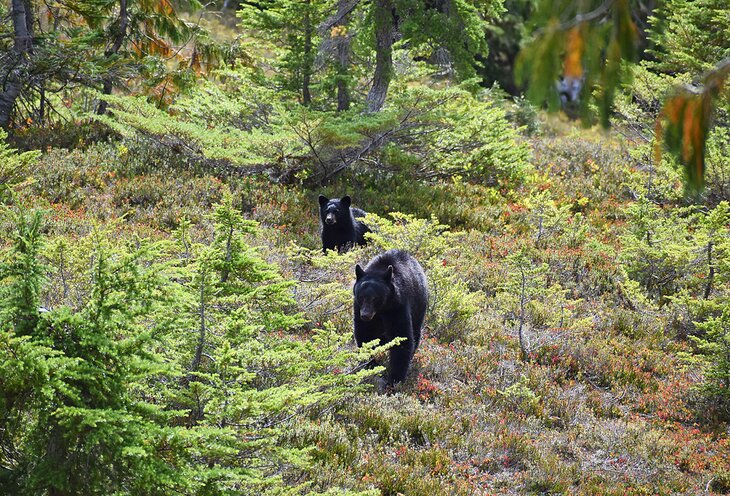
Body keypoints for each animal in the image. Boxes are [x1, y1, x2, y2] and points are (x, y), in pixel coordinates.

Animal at [352, 250, 426, 386]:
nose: (365, 315)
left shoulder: (397, 306)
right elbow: (364, 334)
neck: (381, 310)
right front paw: (370, 365)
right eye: (361, 296)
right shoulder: (358, 308)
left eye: (375, 298)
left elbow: (402, 337)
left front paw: (394, 380)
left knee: (416, 331)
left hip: (419, 306)